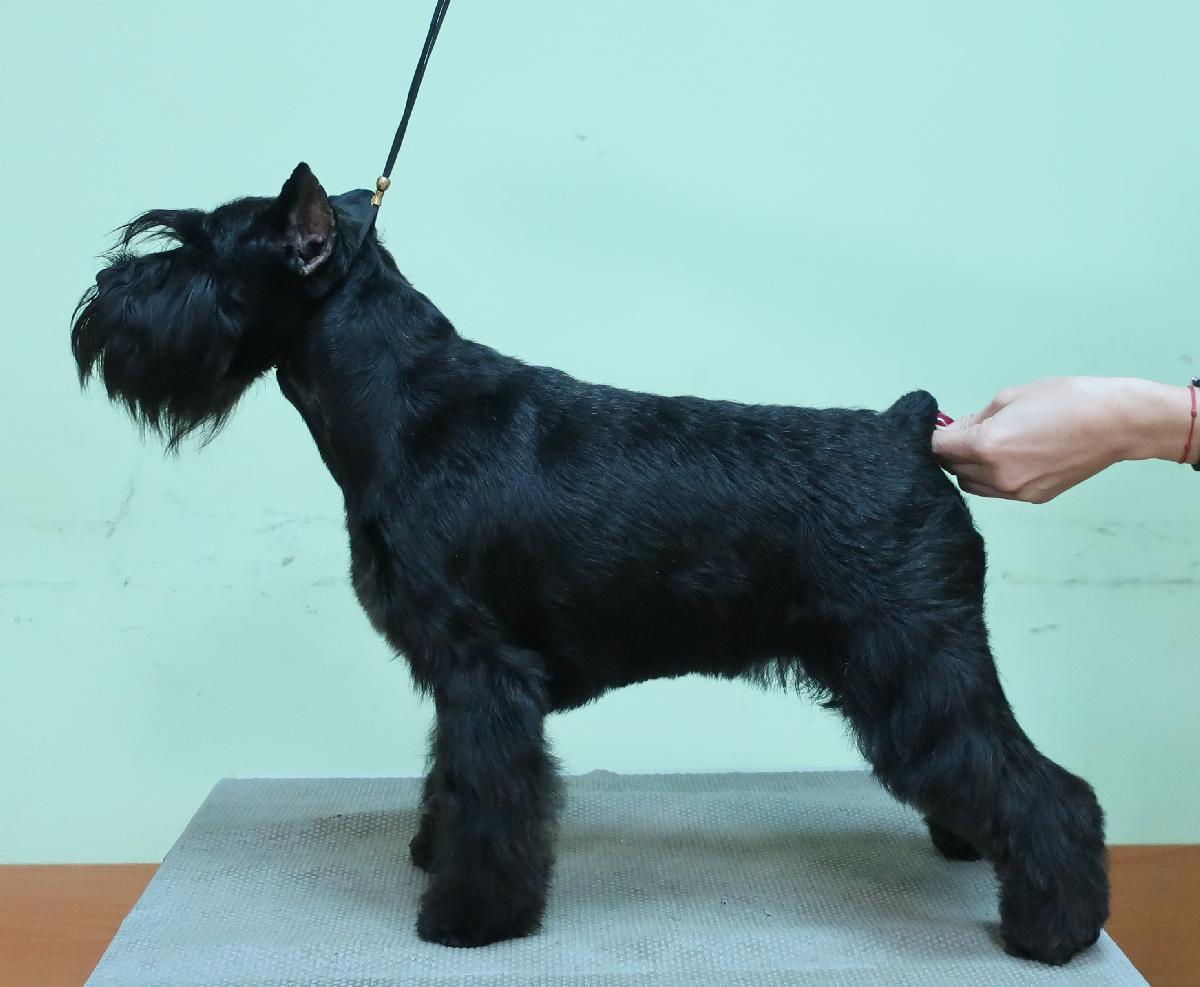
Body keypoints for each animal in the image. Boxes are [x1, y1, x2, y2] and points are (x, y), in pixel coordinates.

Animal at [71, 163, 1108, 964]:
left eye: (199, 252)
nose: (97, 309)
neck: (402, 402)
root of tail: (909, 427)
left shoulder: (487, 671)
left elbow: (494, 794)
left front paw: (469, 916)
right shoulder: (457, 678)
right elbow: (453, 776)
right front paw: (434, 850)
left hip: (916, 658)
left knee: (1046, 789)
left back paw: (1053, 928)